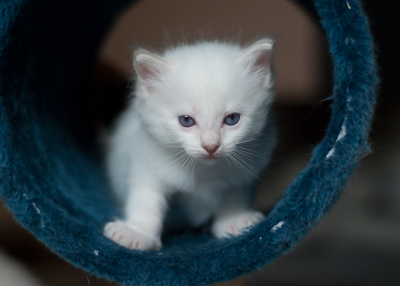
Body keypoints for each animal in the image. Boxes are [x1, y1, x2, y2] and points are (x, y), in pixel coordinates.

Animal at [104, 38, 276, 250]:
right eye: (186, 120)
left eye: (232, 119)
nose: (211, 146)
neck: (205, 172)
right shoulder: (147, 164)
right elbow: (145, 200)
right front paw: (137, 232)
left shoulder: (246, 170)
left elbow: (233, 195)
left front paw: (234, 220)